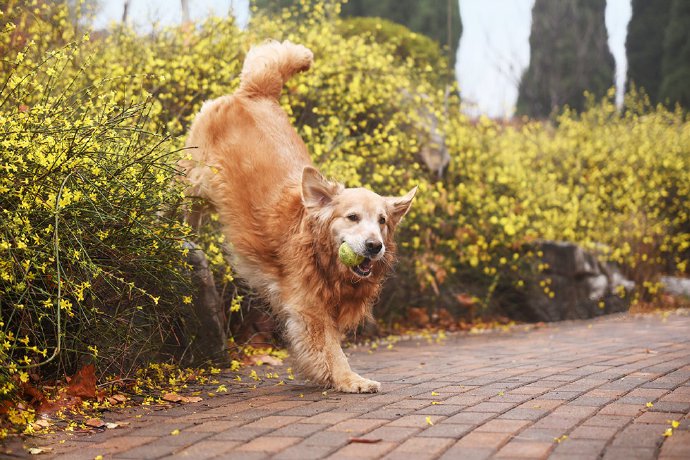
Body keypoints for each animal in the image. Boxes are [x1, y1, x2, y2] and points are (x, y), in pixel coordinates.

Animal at [179, 40, 414, 392]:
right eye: (353, 217)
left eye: (382, 221)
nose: (375, 246)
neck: (321, 252)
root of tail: (255, 93)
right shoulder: (309, 307)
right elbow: (331, 347)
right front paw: (348, 379)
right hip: (190, 181)